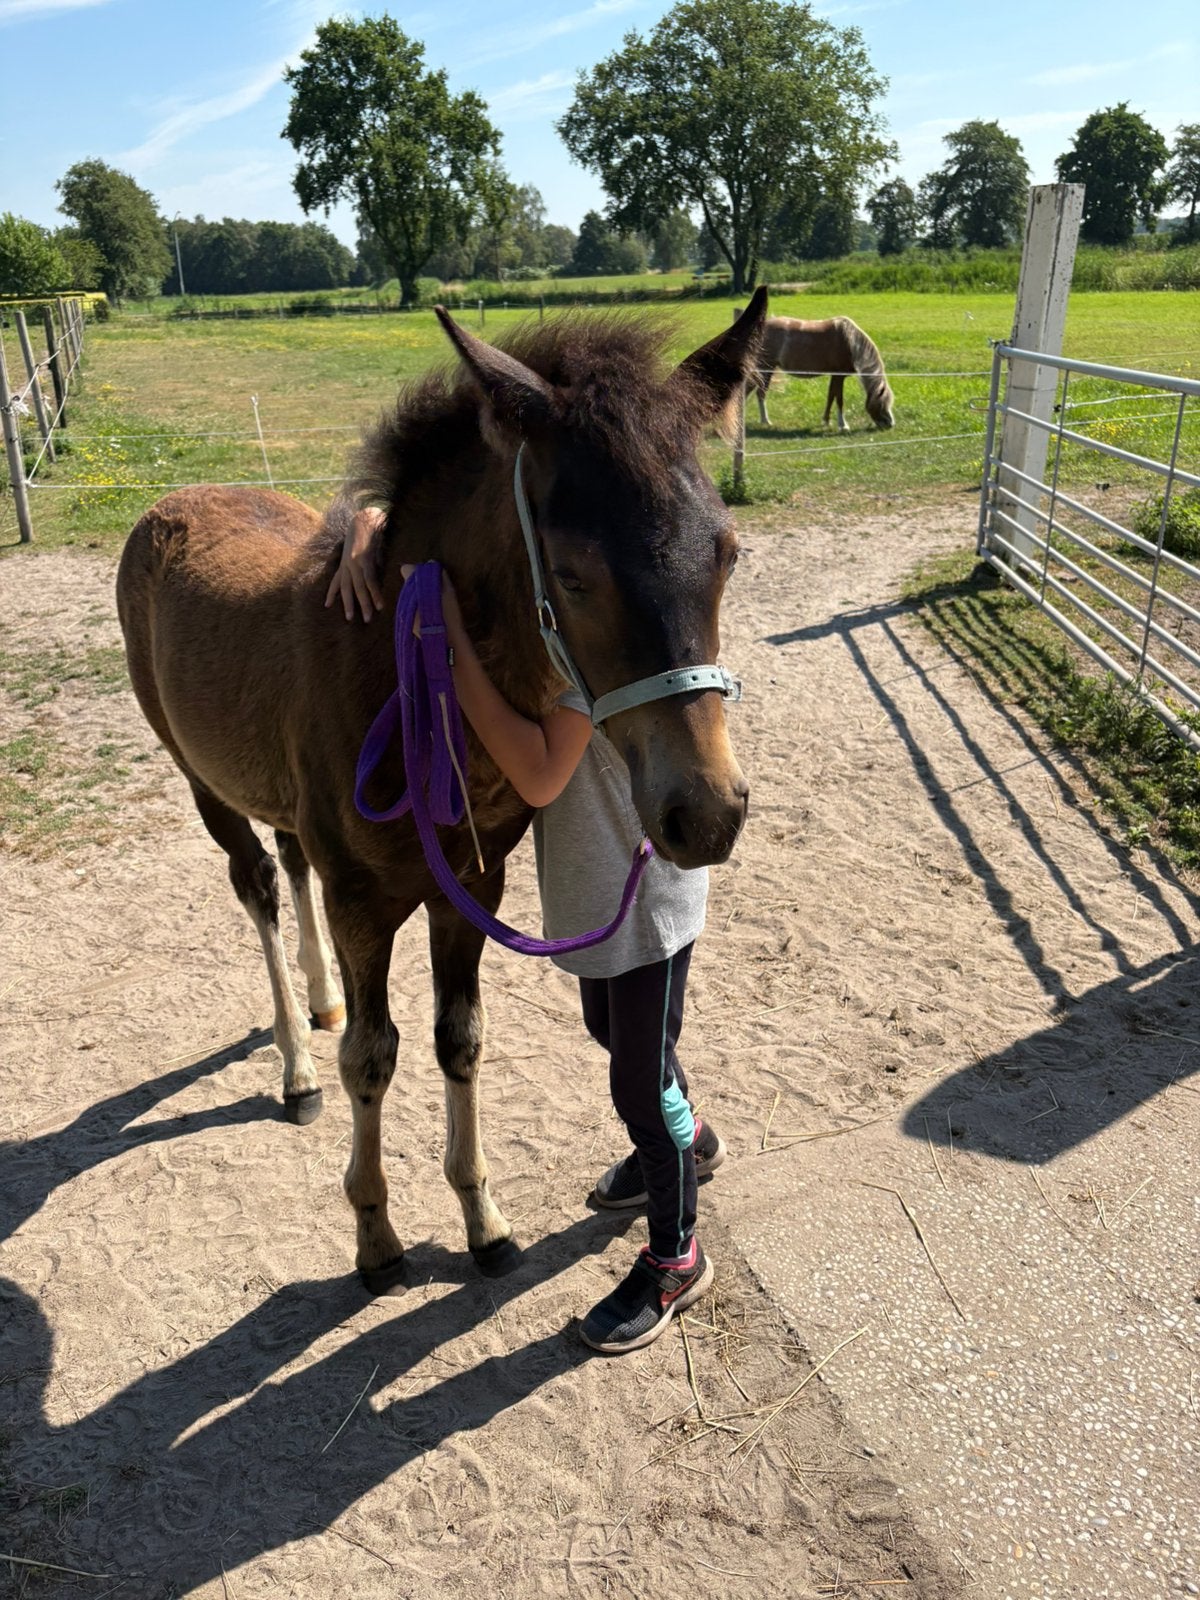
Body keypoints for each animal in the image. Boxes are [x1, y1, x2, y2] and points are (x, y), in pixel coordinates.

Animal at [115, 291, 766, 1293]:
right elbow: (373, 1056)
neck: (400, 669)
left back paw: (319, 999)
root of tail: (167, 504)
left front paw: (483, 1221)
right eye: (572, 574)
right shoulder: (362, 901)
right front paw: (375, 1239)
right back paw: (296, 1065)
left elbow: (458, 1036)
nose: (708, 814)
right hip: (202, 783)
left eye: (727, 552)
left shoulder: (471, 889)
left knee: (290, 862)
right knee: (258, 888)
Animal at [749, 315, 894, 432]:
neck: (849, 342)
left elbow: (831, 397)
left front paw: (826, 421)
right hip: (765, 369)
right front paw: (843, 425)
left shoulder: (834, 376)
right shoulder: (839, 376)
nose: (890, 424)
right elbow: (839, 400)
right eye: (881, 403)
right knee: (760, 393)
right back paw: (765, 421)